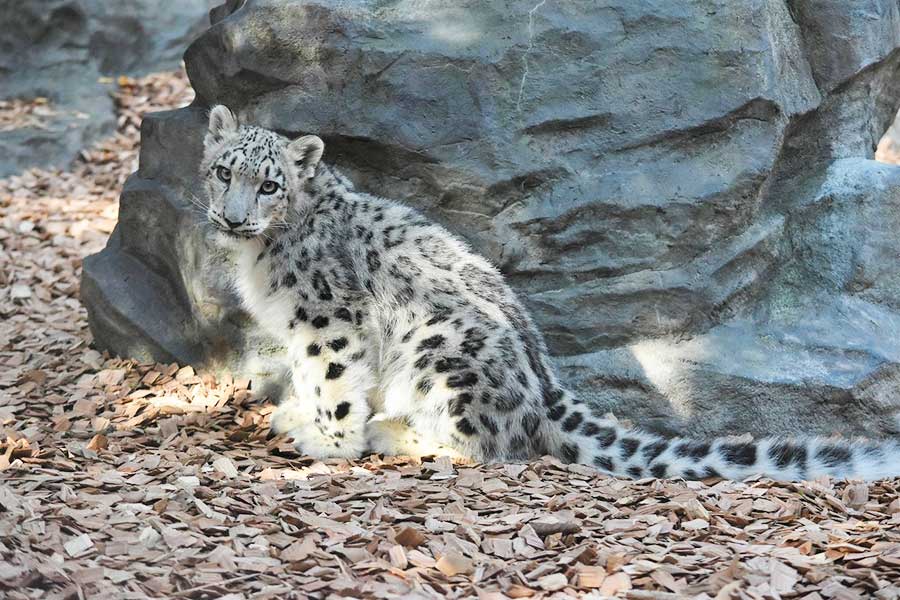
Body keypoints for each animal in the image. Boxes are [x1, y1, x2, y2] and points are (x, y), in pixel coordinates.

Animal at [200, 105, 896, 482]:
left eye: (269, 185)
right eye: (223, 171)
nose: (233, 217)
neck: (261, 258)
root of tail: (547, 379)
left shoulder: (328, 318)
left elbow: (335, 380)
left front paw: (330, 441)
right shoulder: (295, 325)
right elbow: (307, 377)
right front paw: (295, 412)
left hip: (439, 347)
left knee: (492, 448)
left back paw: (392, 433)